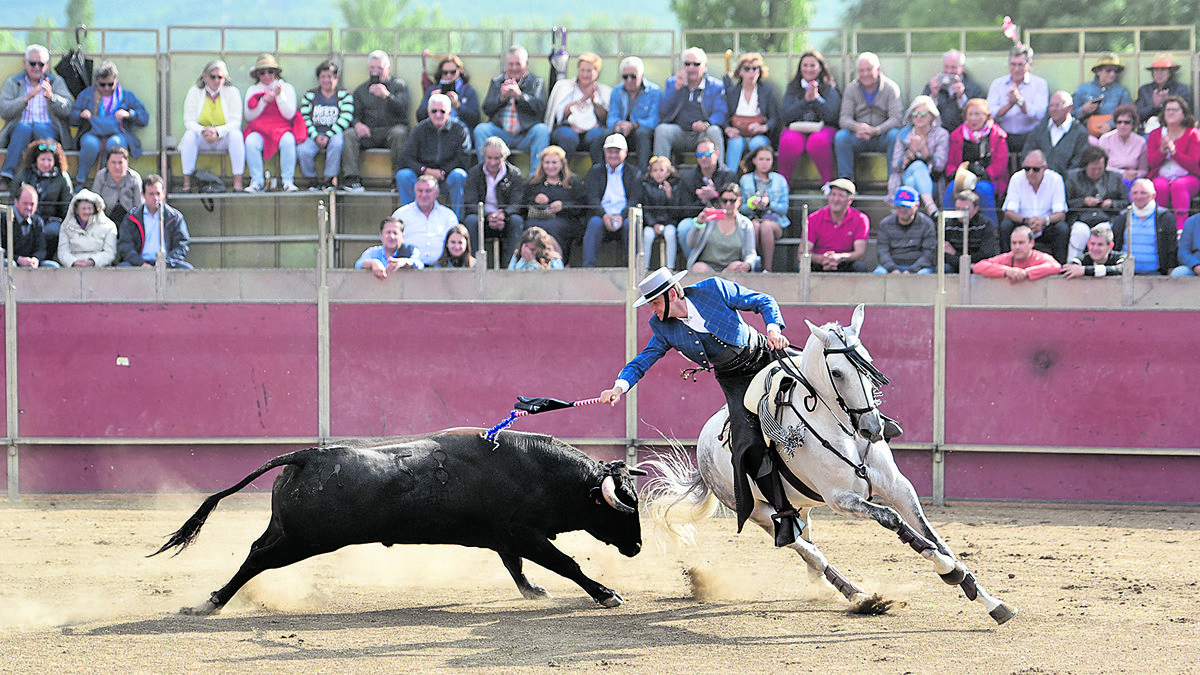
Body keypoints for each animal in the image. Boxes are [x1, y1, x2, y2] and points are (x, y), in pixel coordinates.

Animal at [151, 427, 648, 612]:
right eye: (622, 506)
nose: (638, 547)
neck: (538, 471)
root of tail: (308, 455)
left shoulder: (505, 538)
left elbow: (517, 569)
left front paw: (532, 591)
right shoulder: (524, 533)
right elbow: (567, 564)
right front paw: (607, 594)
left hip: (286, 531)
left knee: (255, 550)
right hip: (304, 540)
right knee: (256, 560)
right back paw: (214, 601)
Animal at [643, 302, 1017, 624]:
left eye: (867, 362)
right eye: (836, 372)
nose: (872, 428)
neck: (841, 429)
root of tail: (704, 442)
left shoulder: (898, 487)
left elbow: (932, 535)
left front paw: (990, 600)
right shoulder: (842, 499)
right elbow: (897, 523)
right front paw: (949, 570)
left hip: (800, 504)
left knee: (807, 543)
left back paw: (827, 587)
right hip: (757, 511)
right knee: (806, 549)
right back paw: (857, 594)